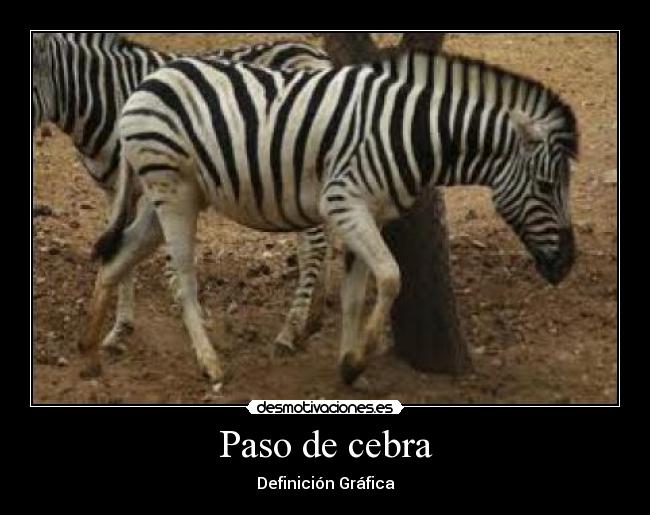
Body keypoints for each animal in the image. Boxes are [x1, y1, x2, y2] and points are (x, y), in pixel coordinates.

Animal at [32, 32, 332, 355]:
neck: (103, 98)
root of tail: (316, 52)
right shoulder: (115, 191)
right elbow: (120, 252)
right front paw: (120, 328)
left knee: (314, 246)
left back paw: (289, 331)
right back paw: (311, 318)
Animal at [81, 50, 578, 388]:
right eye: (546, 186)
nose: (567, 264)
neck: (411, 130)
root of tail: (148, 80)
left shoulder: (368, 213)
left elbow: (357, 294)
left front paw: (348, 366)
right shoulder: (345, 202)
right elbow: (392, 277)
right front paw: (358, 359)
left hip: (166, 196)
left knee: (116, 256)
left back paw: (90, 356)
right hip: (174, 191)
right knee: (182, 277)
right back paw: (210, 364)